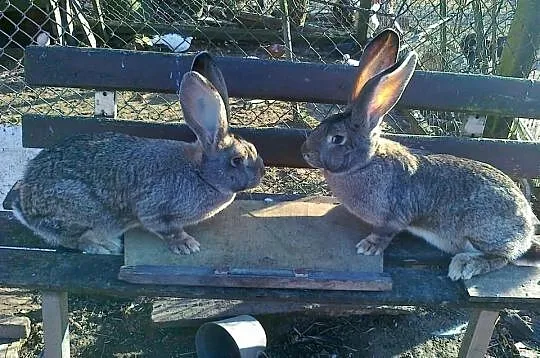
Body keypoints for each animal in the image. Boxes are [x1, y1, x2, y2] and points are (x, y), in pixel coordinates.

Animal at [12, 51, 266, 256]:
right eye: (237, 160)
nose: (261, 173)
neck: (200, 172)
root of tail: (25, 207)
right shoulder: (154, 209)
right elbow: (166, 229)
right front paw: (186, 245)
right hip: (84, 210)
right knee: (73, 239)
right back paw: (104, 247)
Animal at [302, 29, 536, 282]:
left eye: (337, 138)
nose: (305, 152)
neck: (366, 163)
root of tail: (526, 232)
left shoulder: (394, 218)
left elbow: (385, 233)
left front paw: (368, 247)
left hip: (480, 232)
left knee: (503, 257)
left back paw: (464, 265)